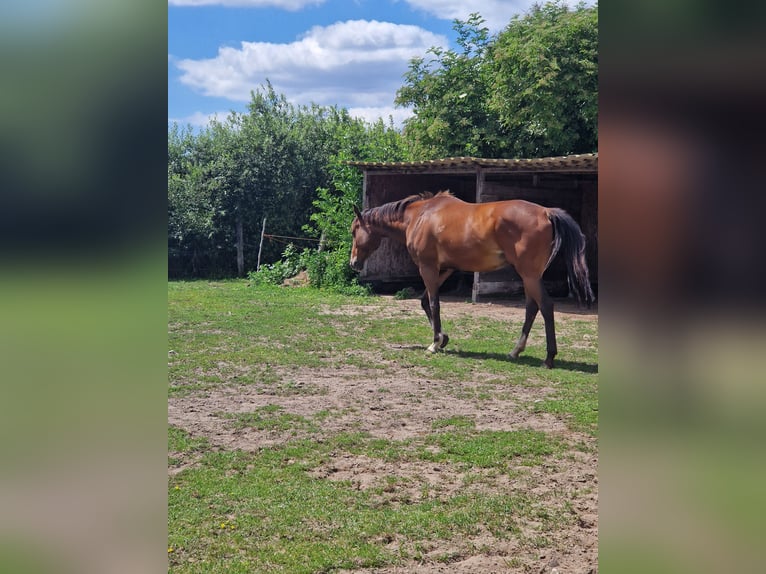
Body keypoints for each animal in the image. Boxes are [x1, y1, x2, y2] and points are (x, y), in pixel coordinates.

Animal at [352, 191, 596, 372]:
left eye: (355, 231)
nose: (353, 263)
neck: (420, 215)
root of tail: (546, 212)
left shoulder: (428, 267)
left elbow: (434, 303)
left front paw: (434, 343)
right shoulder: (446, 268)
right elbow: (424, 301)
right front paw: (443, 338)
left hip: (529, 275)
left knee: (545, 306)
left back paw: (548, 358)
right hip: (529, 277)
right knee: (531, 308)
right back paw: (515, 351)